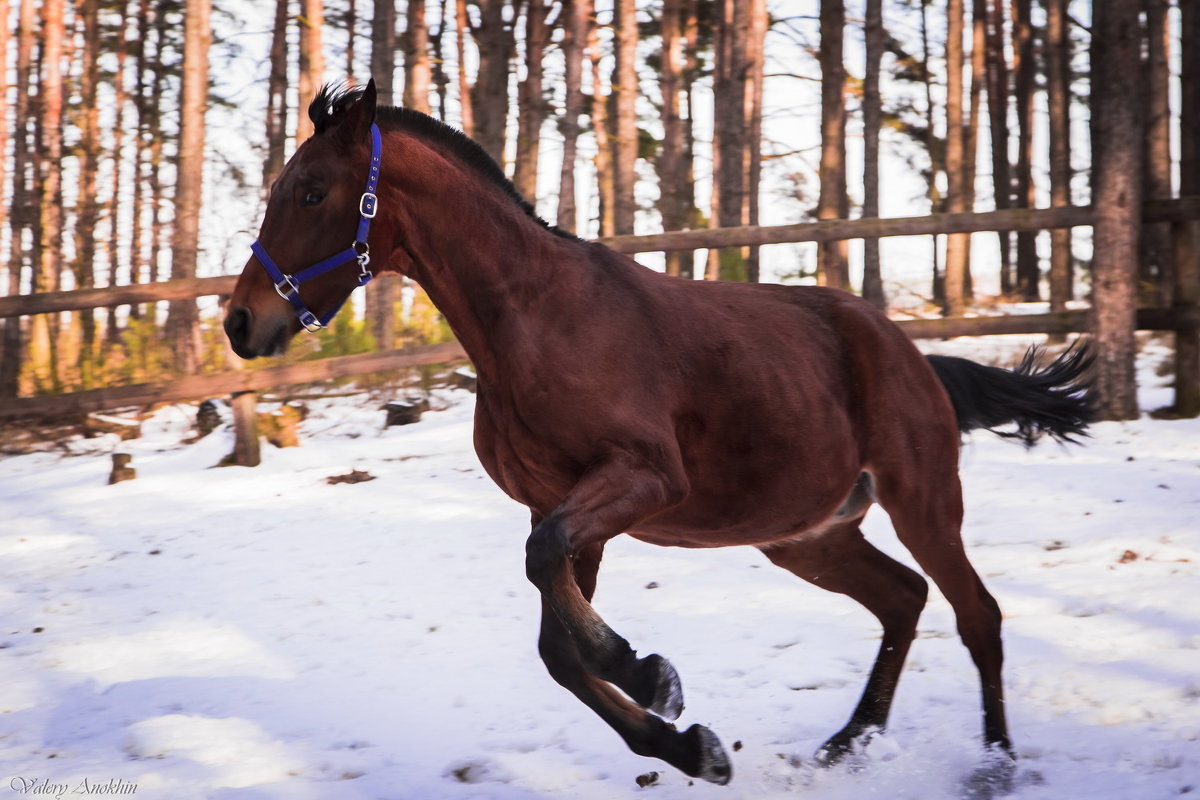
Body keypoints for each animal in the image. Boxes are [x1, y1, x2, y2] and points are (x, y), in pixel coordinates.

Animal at [220, 81, 1094, 786]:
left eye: (311, 192)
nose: (240, 322)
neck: (536, 322)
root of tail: (910, 352)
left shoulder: (640, 483)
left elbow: (554, 595)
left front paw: (651, 676)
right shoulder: (562, 508)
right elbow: (558, 648)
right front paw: (690, 742)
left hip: (922, 500)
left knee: (977, 614)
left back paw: (995, 765)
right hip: (807, 536)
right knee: (903, 600)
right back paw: (849, 743)